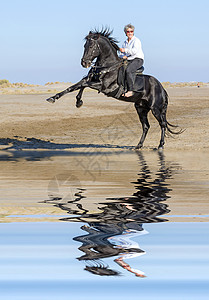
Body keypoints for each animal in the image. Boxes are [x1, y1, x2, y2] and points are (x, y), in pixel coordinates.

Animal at [46, 28, 179, 149]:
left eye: (91, 46)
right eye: (84, 45)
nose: (84, 63)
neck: (107, 65)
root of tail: (161, 88)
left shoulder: (103, 87)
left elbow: (83, 85)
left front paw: (78, 102)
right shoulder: (91, 80)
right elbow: (75, 86)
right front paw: (56, 98)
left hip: (155, 109)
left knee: (162, 124)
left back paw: (160, 145)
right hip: (141, 109)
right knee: (146, 126)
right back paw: (138, 145)